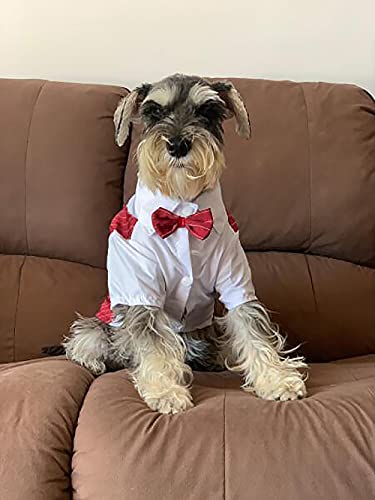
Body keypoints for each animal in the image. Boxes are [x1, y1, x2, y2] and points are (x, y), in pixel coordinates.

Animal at [61, 72, 308, 412]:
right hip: (104, 328)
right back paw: (93, 360)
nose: (178, 145)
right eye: (154, 111)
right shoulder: (142, 291)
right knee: (86, 339)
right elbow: (152, 342)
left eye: (207, 111)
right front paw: (165, 391)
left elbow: (252, 326)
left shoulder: (236, 282)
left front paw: (276, 380)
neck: (182, 212)